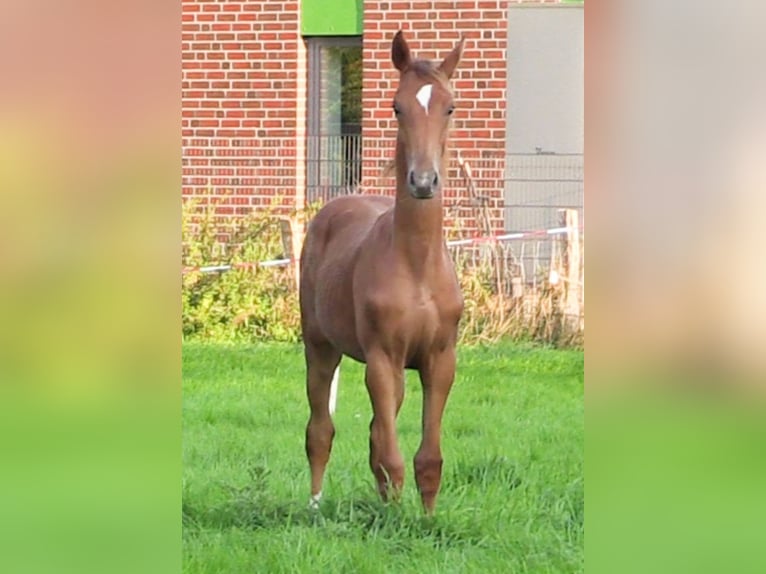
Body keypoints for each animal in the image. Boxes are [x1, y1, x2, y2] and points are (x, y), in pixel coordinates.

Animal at [300, 31, 464, 516]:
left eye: (450, 106)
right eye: (397, 106)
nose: (424, 181)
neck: (417, 265)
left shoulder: (440, 360)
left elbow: (426, 458)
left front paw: (425, 521)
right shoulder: (381, 358)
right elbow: (390, 456)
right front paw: (395, 520)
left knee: (375, 432)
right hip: (319, 346)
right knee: (320, 429)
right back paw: (315, 504)